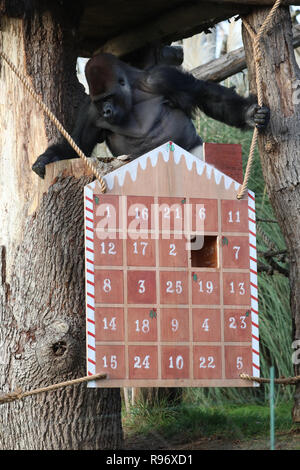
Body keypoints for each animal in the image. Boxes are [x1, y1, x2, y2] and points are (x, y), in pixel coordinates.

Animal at [32, 50, 270, 177]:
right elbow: (77, 144)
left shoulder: (162, 77)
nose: (106, 112)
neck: (131, 92)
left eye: (109, 97)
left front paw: (248, 114)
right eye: (100, 101)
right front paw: (47, 158)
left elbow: (203, 94)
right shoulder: (90, 111)